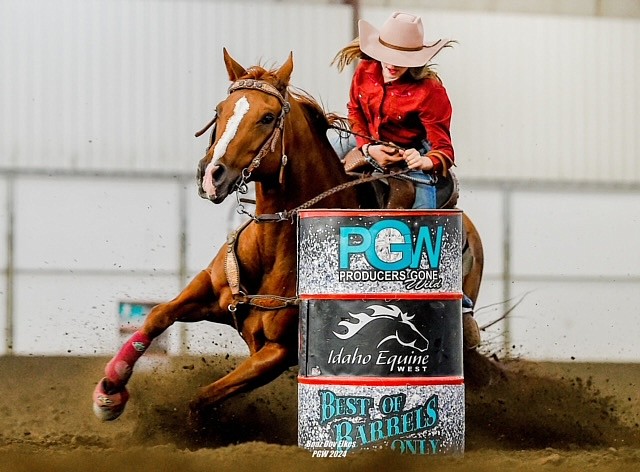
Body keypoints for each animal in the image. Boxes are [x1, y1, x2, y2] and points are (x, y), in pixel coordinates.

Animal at [91, 48, 484, 424]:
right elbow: (157, 316)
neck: (277, 245)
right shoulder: (209, 286)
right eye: (220, 110)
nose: (211, 175)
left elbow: (201, 400)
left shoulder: (278, 352)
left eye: (267, 117)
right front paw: (109, 391)